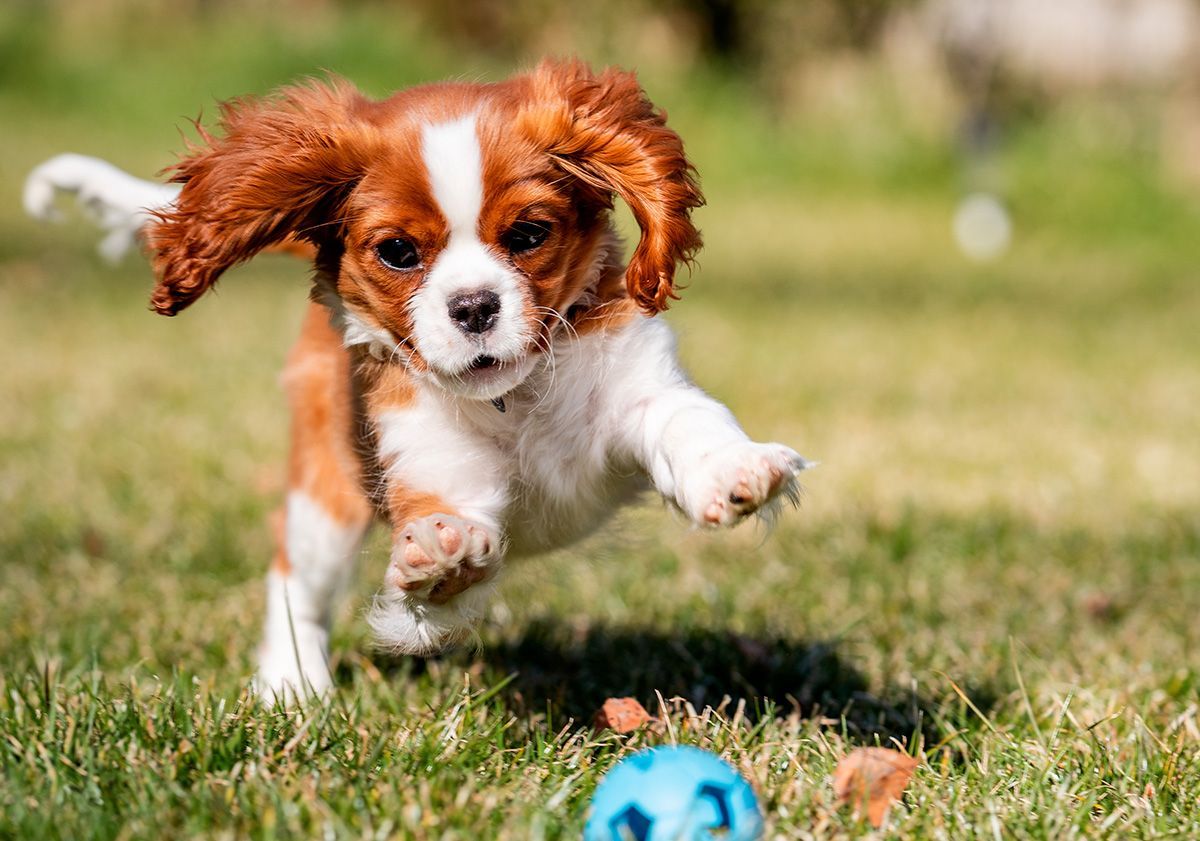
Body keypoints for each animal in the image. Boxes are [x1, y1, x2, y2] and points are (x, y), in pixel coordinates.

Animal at [28, 59, 811, 700]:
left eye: (528, 235)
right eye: (399, 252)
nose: (473, 306)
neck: (512, 396)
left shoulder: (636, 381)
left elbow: (686, 421)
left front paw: (734, 471)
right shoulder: (433, 465)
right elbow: (445, 554)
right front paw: (443, 555)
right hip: (329, 489)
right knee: (295, 577)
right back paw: (293, 688)